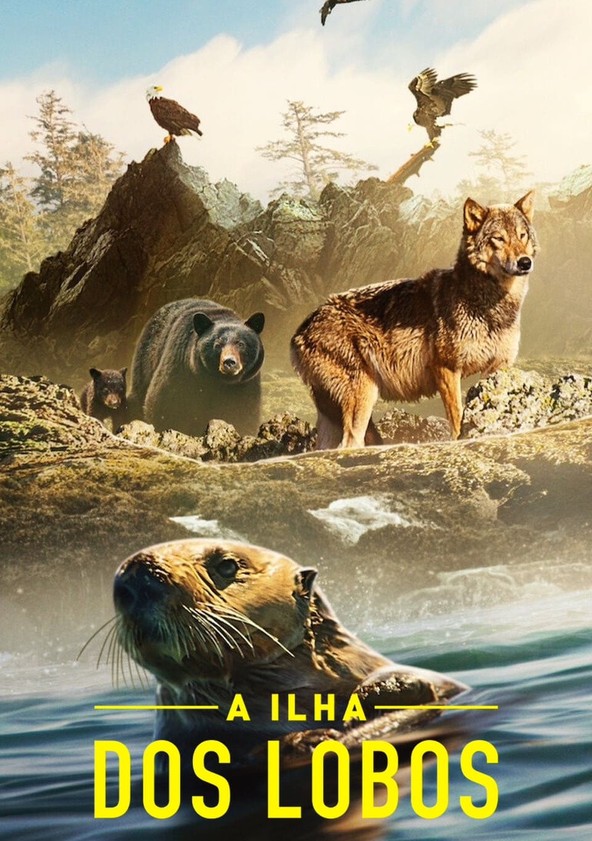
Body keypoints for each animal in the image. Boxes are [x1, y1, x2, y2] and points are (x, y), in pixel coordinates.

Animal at [291, 192, 537, 449]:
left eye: (522, 235)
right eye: (499, 238)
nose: (525, 262)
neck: (488, 304)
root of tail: (300, 331)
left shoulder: (497, 369)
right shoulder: (447, 369)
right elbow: (457, 419)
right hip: (363, 396)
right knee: (350, 443)